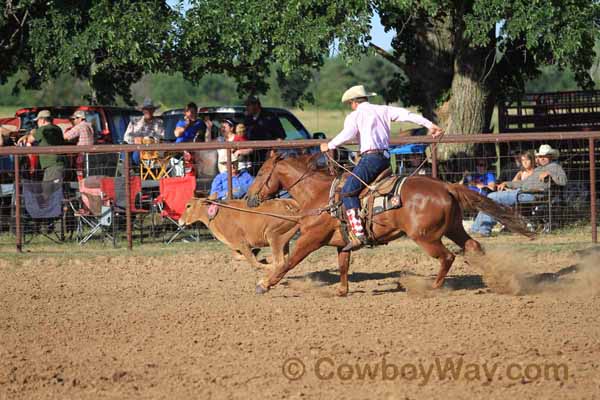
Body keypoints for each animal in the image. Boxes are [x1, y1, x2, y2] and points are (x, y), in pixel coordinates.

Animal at [246, 152, 532, 296]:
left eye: (260, 173)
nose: (248, 198)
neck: (319, 195)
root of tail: (446, 186)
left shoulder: (311, 239)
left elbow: (288, 263)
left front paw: (264, 284)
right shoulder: (342, 244)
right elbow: (343, 265)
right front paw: (342, 290)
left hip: (426, 237)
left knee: (448, 257)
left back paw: (432, 288)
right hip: (454, 228)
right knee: (473, 247)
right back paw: (501, 282)